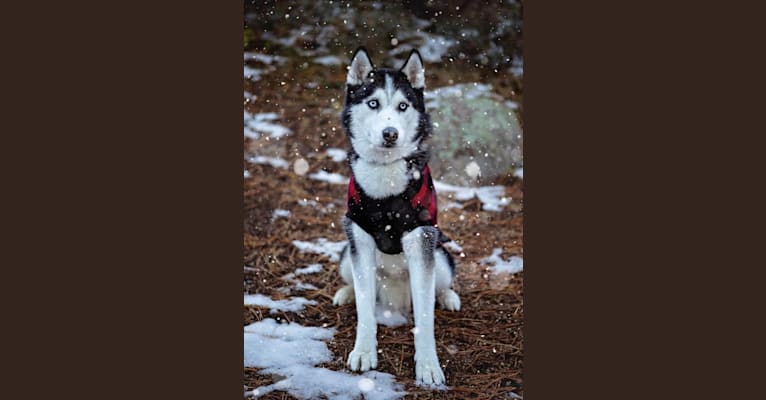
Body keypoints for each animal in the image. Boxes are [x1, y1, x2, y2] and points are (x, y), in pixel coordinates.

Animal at [332, 47, 462, 388]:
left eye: (403, 105)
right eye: (373, 103)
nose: (390, 134)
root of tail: (395, 300)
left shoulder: (421, 237)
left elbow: (426, 321)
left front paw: (428, 365)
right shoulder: (359, 235)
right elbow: (365, 310)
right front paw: (364, 352)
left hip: (441, 257)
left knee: (438, 287)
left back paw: (448, 297)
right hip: (346, 253)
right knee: (355, 283)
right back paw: (345, 292)